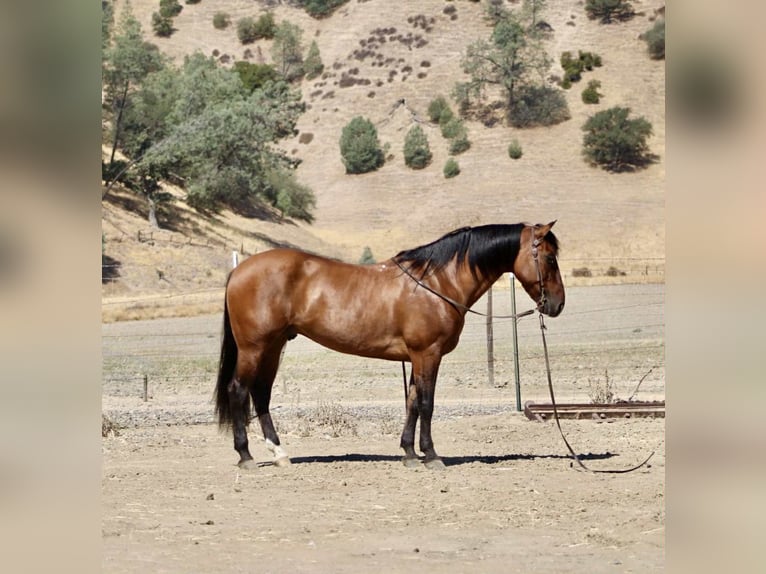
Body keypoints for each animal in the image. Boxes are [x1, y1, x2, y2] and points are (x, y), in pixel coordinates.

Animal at [215, 222, 564, 470]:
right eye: (549, 257)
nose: (557, 305)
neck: (437, 283)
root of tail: (238, 271)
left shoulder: (416, 357)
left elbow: (412, 402)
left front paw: (409, 452)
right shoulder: (428, 354)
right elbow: (426, 403)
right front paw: (431, 455)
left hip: (273, 347)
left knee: (260, 393)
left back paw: (279, 453)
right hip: (254, 347)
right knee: (238, 390)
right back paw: (246, 456)